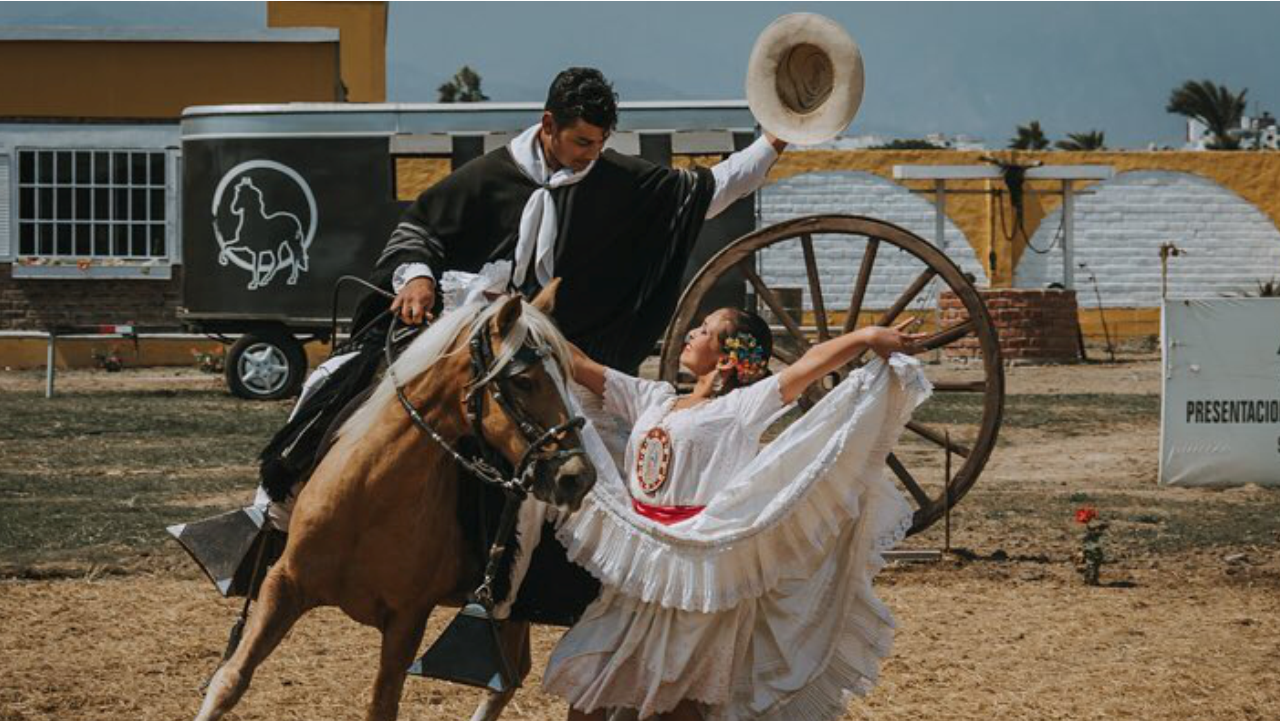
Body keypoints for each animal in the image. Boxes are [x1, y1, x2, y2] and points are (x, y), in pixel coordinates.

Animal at [195, 281, 599, 721]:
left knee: (507, 679)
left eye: (565, 378)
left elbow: (382, 705)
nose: (577, 477)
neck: (368, 497)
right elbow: (231, 679)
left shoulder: (407, 621)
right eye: (524, 381)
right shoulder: (284, 584)